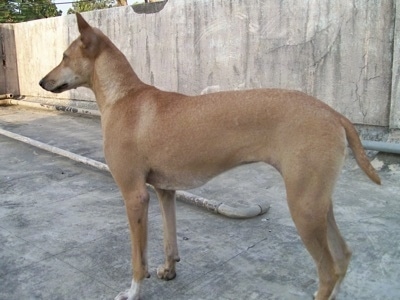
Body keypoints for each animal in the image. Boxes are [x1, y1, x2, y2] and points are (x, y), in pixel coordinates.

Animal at [40, 12, 382, 298]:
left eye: (64, 57)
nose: (42, 81)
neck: (124, 96)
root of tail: (333, 113)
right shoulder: (165, 191)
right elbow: (170, 239)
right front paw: (169, 270)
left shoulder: (134, 195)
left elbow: (138, 260)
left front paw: (133, 291)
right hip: (318, 204)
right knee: (343, 257)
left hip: (304, 208)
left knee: (328, 271)